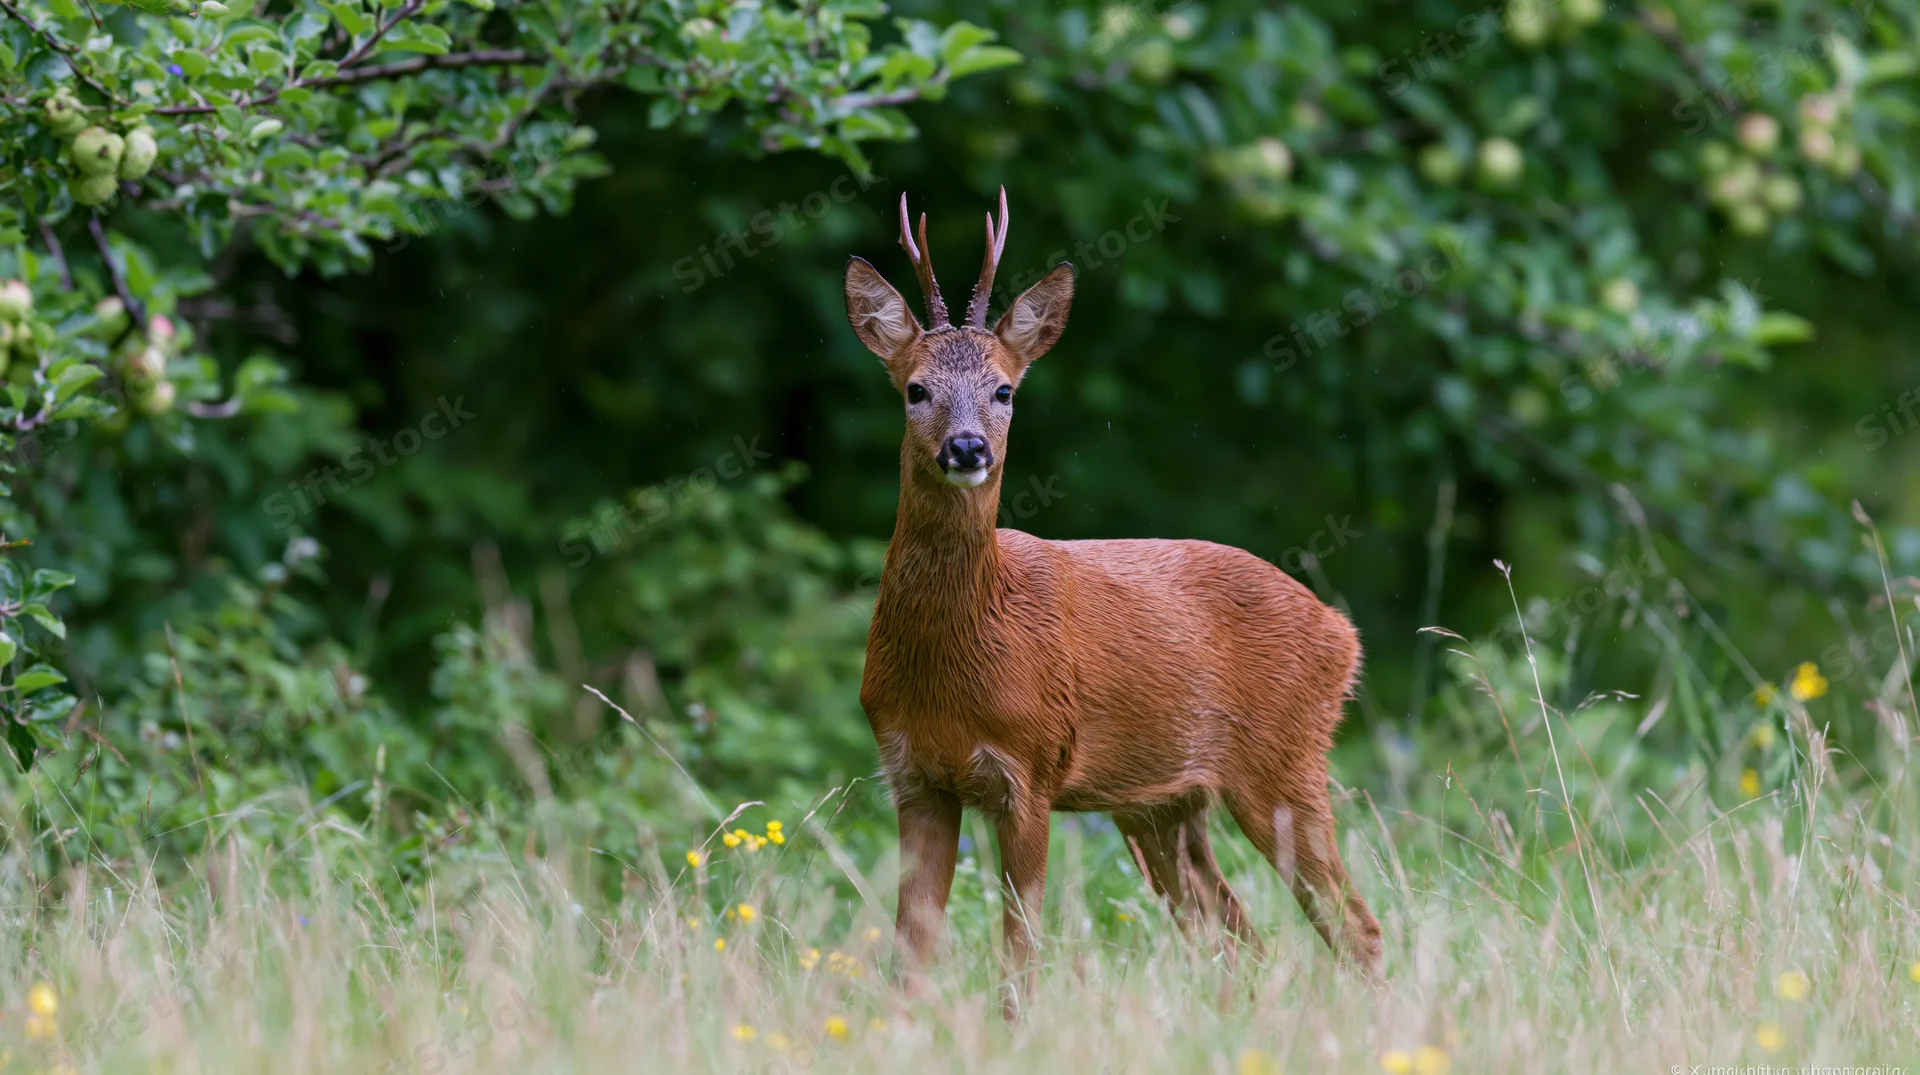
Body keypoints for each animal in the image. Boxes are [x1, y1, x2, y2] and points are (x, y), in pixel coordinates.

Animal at [844, 188, 1384, 1014]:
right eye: (915, 388)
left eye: (1004, 388)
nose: (967, 448)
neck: (964, 653)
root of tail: (1343, 633)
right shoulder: (913, 774)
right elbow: (912, 953)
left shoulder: (1031, 767)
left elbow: (1020, 950)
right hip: (1161, 804)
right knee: (1241, 934)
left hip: (1285, 762)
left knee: (1353, 924)